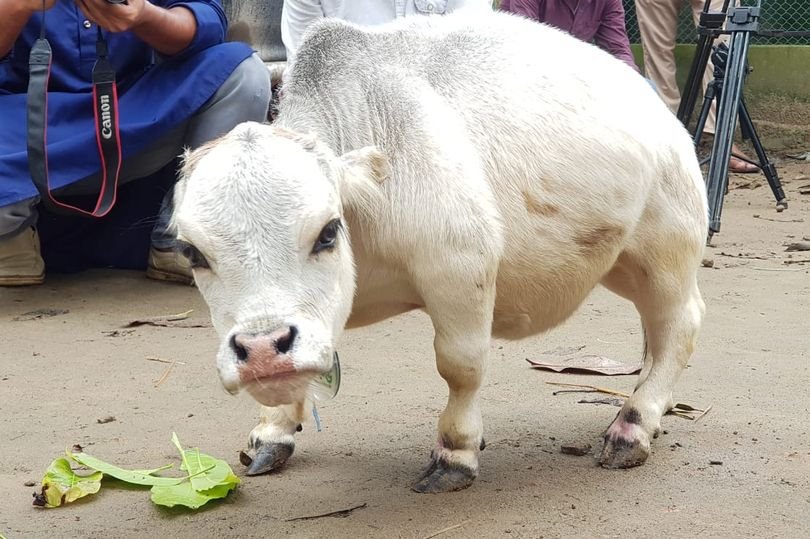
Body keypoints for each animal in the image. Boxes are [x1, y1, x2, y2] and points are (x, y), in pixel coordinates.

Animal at [172, 11, 708, 494]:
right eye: (192, 252)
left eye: (326, 232)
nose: (263, 350)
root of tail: (655, 105)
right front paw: (273, 429)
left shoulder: (459, 268)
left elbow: (460, 366)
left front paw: (456, 451)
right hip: (622, 263)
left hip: (665, 255)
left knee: (679, 325)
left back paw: (634, 423)